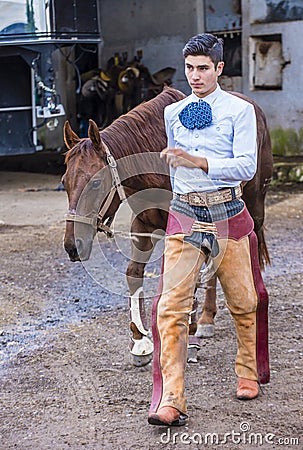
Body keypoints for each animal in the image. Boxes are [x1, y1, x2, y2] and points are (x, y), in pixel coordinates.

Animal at [63, 87, 274, 366]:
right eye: (64, 181)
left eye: (96, 183)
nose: (72, 245)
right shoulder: (143, 225)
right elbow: (134, 273)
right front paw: (140, 342)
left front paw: (188, 337)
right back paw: (206, 318)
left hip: (254, 203)